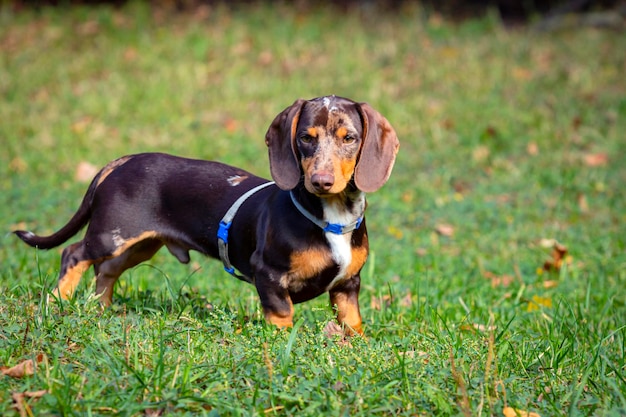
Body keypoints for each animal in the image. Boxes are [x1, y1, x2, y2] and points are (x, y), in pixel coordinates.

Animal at [15, 95, 400, 334]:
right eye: (306, 137)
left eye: (349, 138)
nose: (321, 181)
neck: (330, 217)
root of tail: (122, 161)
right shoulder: (269, 275)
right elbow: (281, 314)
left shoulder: (348, 285)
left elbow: (353, 322)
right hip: (112, 234)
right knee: (74, 254)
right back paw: (59, 301)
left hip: (140, 245)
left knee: (106, 271)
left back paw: (100, 309)